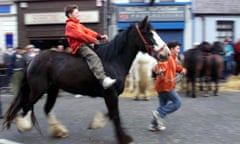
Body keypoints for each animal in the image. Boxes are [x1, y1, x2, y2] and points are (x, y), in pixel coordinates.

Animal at [2, 16, 170, 143]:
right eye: (149, 33)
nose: (166, 53)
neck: (113, 59)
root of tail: (32, 59)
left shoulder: (111, 96)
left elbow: (111, 114)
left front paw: (96, 123)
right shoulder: (110, 94)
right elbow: (115, 115)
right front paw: (124, 138)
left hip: (52, 89)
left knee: (45, 108)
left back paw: (58, 131)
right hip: (38, 90)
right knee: (26, 106)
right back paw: (23, 125)